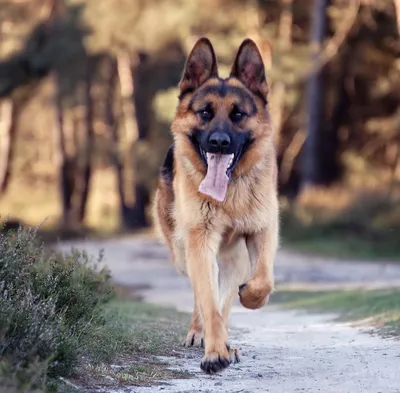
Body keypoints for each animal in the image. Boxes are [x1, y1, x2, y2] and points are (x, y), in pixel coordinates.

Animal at [153, 36, 278, 374]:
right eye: (205, 113)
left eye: (238, 115)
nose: (219, 143)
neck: (230, 196)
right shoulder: (200, 242)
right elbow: (208, 302)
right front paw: (214, 352)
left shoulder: (263, 231)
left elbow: (263, 280)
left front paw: (251, 298)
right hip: (185, 253)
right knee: (202, 297)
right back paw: (203, 335)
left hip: (233, 260)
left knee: (225, 296)